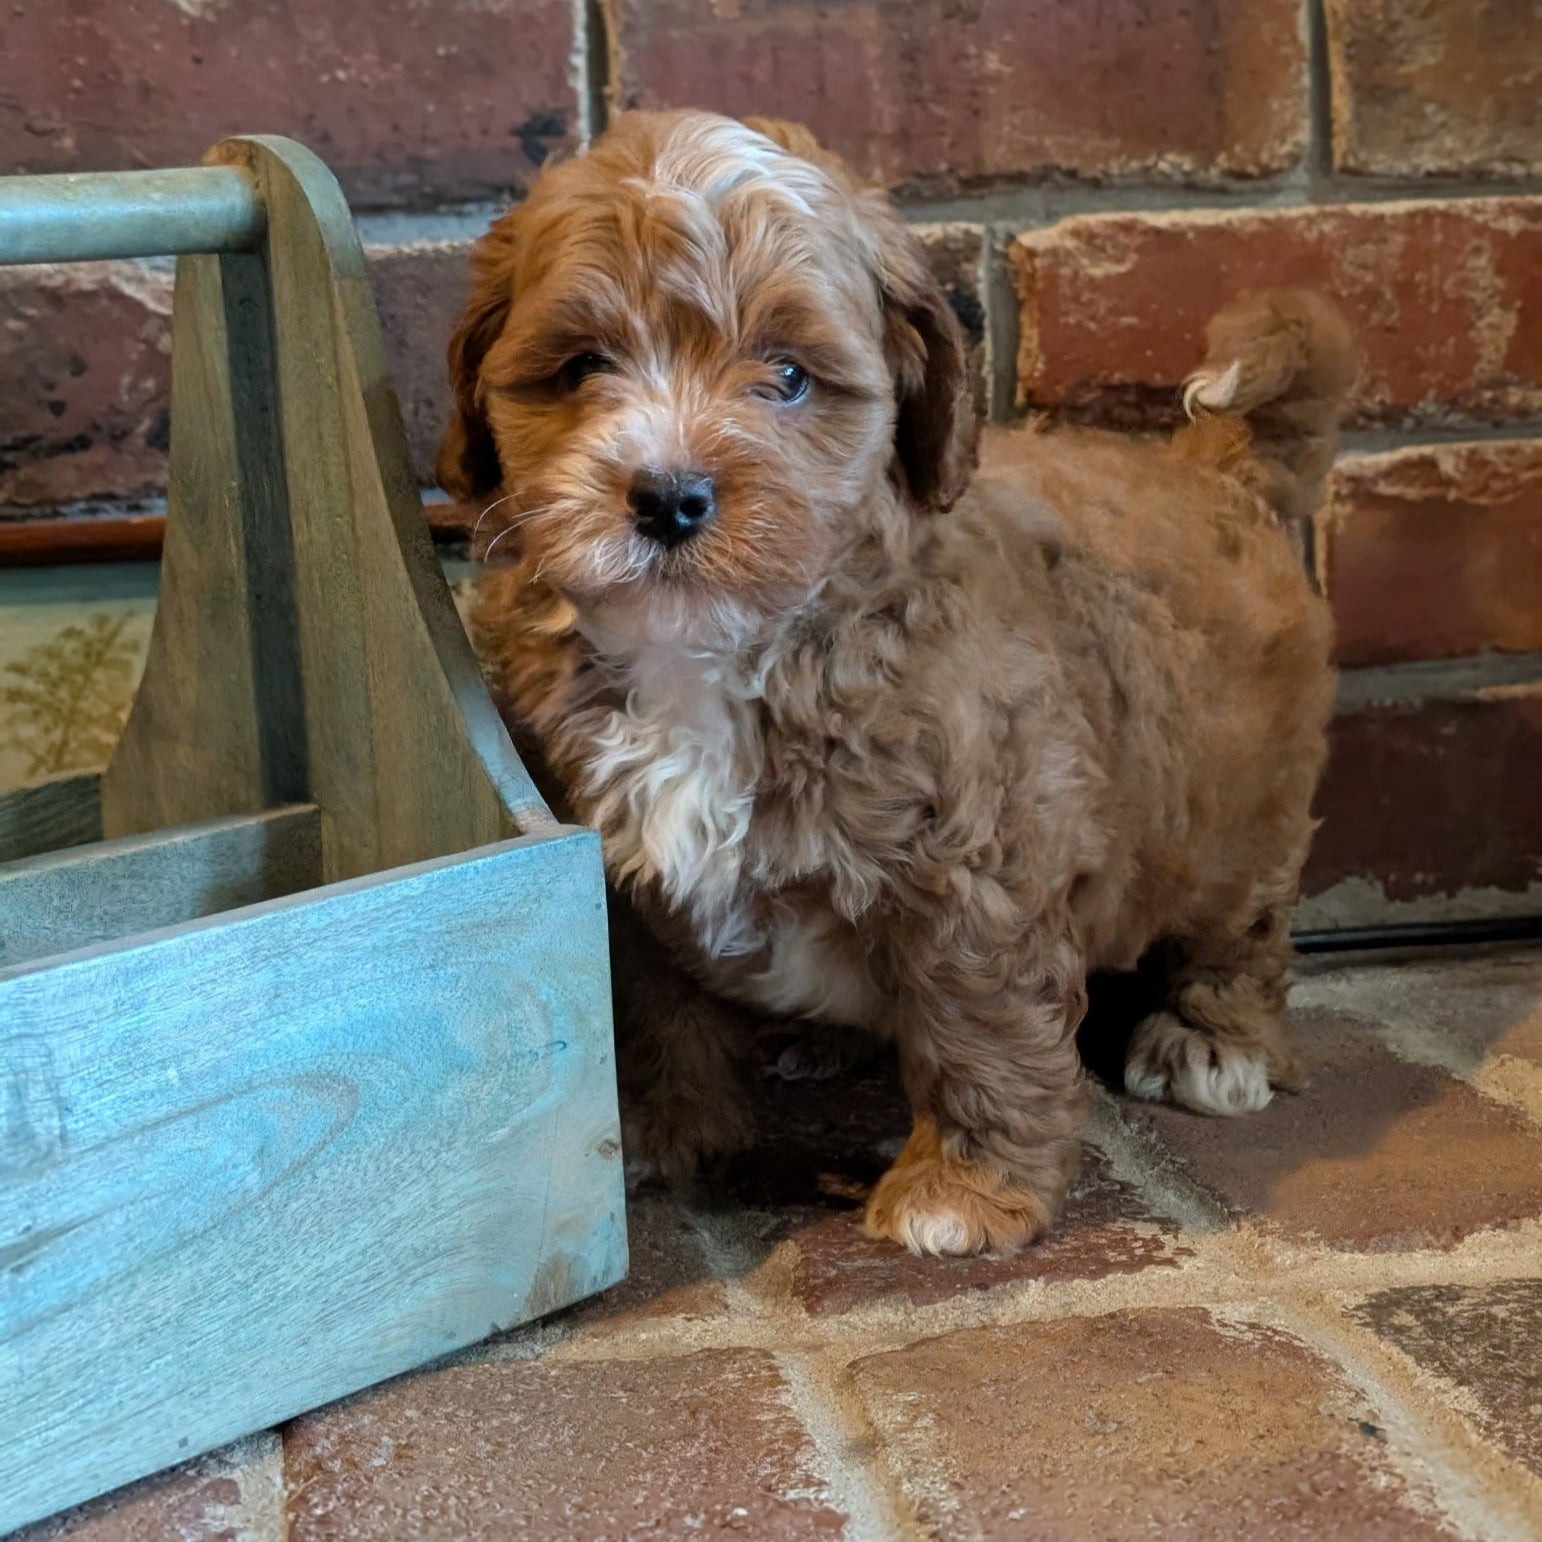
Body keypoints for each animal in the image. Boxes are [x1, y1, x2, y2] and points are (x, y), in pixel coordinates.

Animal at [438, 109, 1353, 1256]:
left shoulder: (981, 857)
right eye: (581, 367)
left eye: (788, 377)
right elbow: (651, 1011)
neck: (724, 651)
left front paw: (962, 1191)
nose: (669, 497)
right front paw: (654, 1133)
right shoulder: (622, 880)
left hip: (1243, 813)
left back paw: (1213, 1040)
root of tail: (1218, 467)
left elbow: (978, 1024)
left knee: (1245, 928)